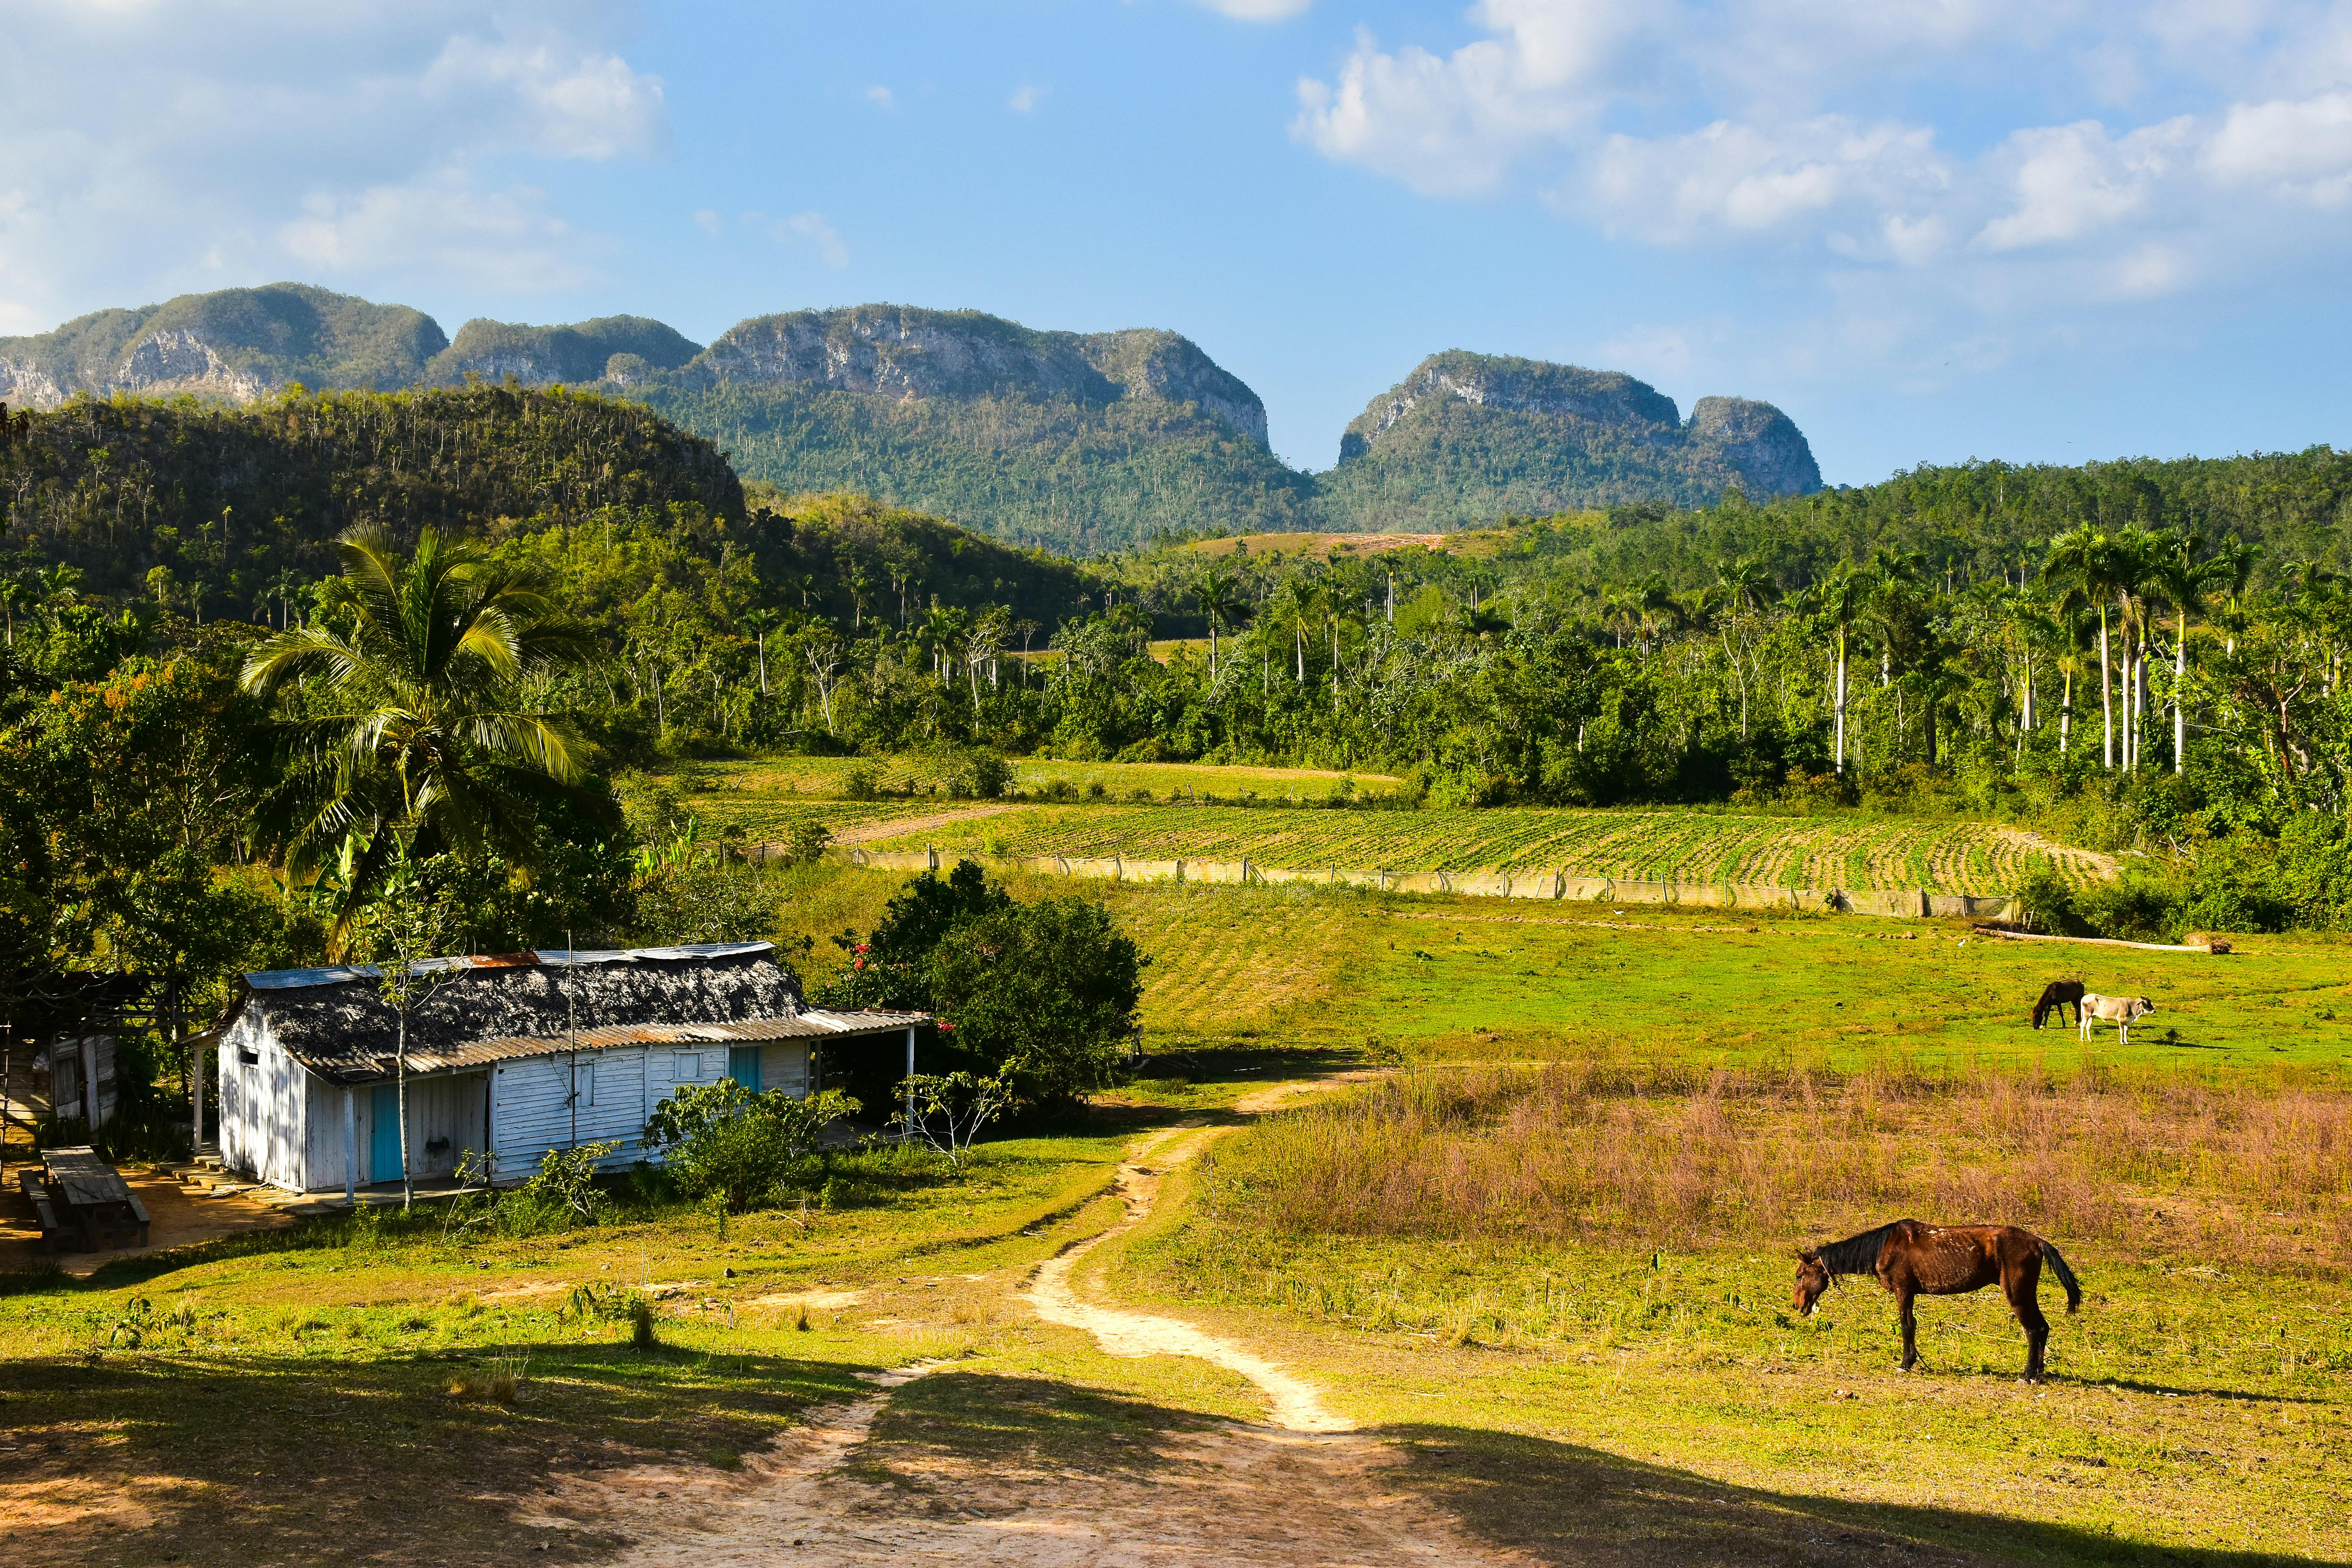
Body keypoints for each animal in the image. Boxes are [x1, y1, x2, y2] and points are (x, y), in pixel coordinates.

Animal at [1797, 1222, 2079, 1382]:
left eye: (1800, 1275)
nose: (1797, 1305)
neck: (1884, 1246)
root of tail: (2037, 1242)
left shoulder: (1904, 1291)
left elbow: (1907, 1327)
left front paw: (1906, 1364)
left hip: (2018, 1294)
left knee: (2034, 1330)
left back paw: (2028, 1375)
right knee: (2042, 1328)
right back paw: (2038, 1374)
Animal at [2032, 982, 2089, 1029]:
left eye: (2036, 1015)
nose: (2035, 1027)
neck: (2052, 993)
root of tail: (2081, 984)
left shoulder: (2059, 1004)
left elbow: (2061, 1014)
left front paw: (2064, 1025)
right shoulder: (2049, 1004)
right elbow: (2046, 1014)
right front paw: (2043, 1025)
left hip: (2077, 999)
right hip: (2073, 1000)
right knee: (2077, 1010)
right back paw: (2077, 1022)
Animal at [2089, 1001, 2154, 1048]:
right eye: (2147, 1003)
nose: (2154, 1011)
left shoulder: (2127, 1022)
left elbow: (2126, 1032)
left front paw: (2126, 1041)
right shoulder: (2120, 1021)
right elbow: (2122, 1031)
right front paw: (2122, 1042)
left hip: (2092, 1017)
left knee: (2088, 1027)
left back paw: (2090, 1040)